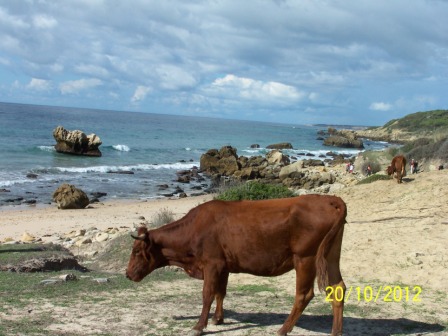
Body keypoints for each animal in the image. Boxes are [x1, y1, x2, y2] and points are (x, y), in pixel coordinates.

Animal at [125, 194, 346, 336]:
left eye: (136, 252)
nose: (127, 274)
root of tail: (329, 199)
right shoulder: (223, 266)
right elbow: (220, 293)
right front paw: (218, 319)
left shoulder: (212, 264)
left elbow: (207, 294)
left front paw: (199, 326)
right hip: (330, 257)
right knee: (338, 289)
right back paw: (335, 331)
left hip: (305, 258)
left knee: (304, 295)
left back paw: (283, 329)